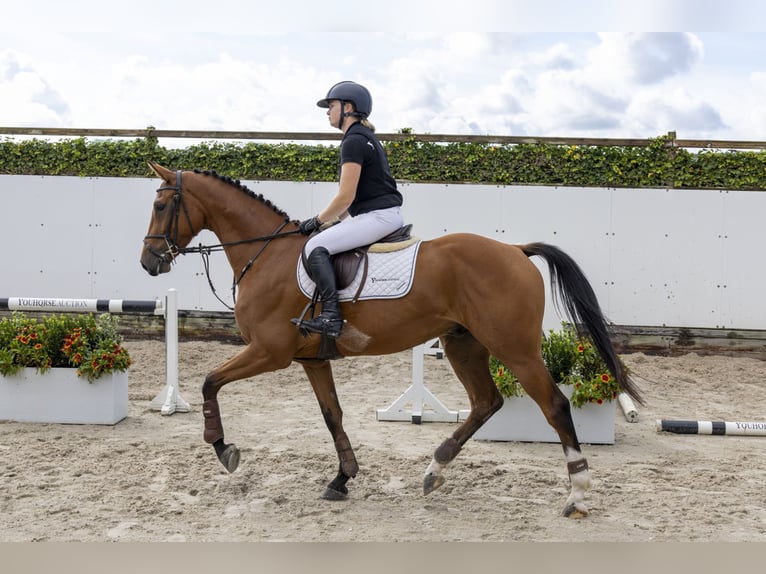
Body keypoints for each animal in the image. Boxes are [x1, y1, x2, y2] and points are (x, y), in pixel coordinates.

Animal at [140, 162, 640, 520]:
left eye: (162, 205)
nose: (149, 262)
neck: (268, 255)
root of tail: (515, 250)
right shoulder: (311, 360)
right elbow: (333, 416)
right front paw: (342, 479)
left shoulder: (270, 352)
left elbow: (209, 381)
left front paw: (223, 449)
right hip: (463, 344)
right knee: (486, 402)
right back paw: (435, 470)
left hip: (514, 349)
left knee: (553, 405)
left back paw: (577, 496)